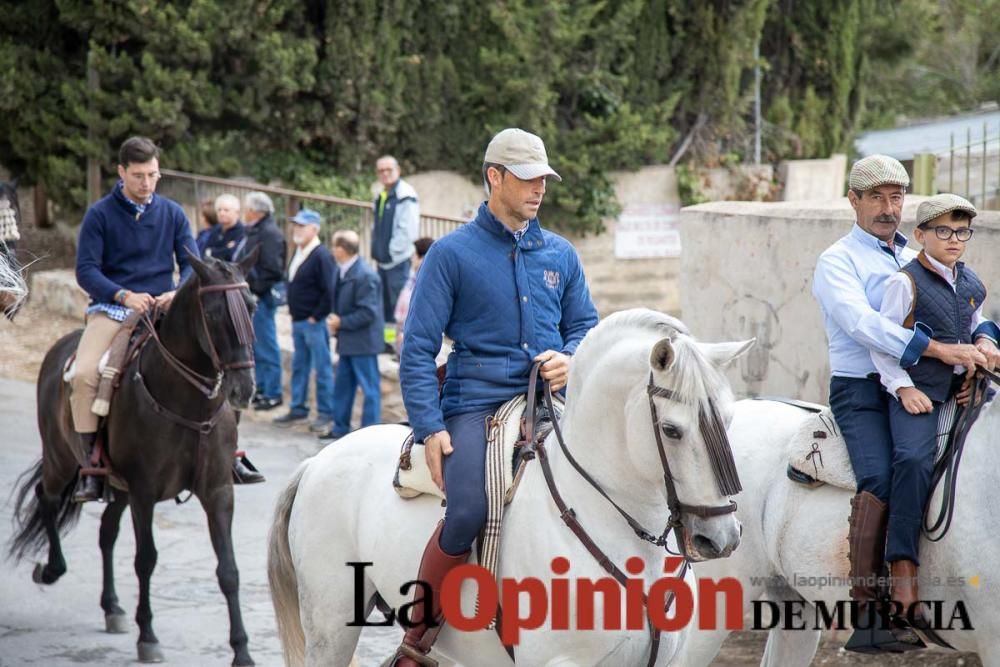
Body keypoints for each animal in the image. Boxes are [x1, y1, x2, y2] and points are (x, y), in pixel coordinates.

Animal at [10, 252, 260, 667]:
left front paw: (242, 650)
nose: (244, 388)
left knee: (106, 531)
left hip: (118, 486)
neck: (186, 403)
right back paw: (50, 570)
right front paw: (149, 637)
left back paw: (111, 606)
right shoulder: (145, 492)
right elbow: (146, 559)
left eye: (252, 306)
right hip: (62, 459)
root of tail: (60, 347)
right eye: (213, 312)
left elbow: (229, 570)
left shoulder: (218, 491)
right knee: (48, 499)